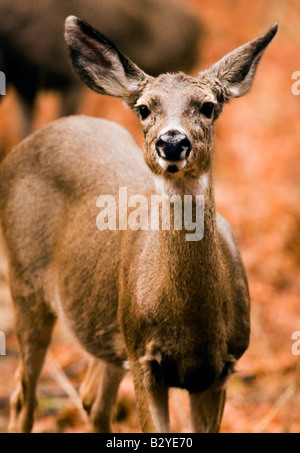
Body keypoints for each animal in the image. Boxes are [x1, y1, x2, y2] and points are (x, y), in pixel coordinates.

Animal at [0, 15, 278, 432]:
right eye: (145, 109)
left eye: (209, 106)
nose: (173, 142)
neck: (194, 326)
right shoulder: (144, 359)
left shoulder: (221, 369)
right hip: (26, 285)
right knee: (23, 395)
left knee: (93, 399)